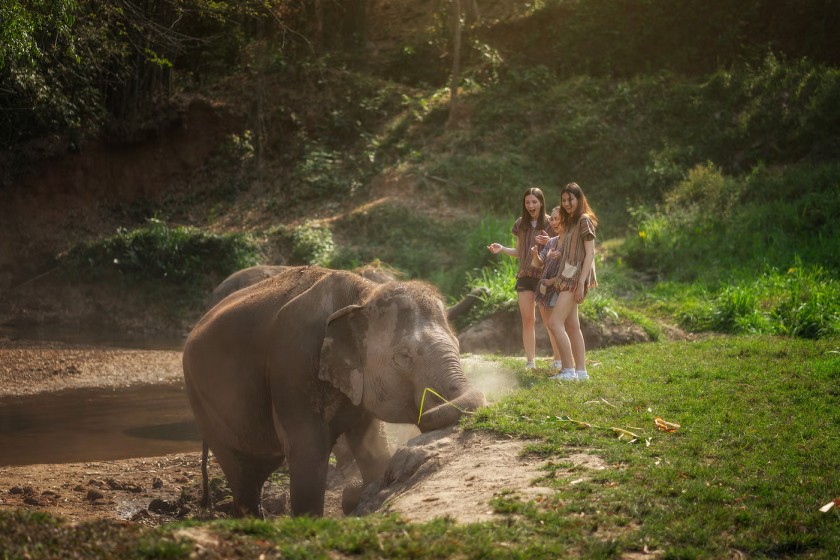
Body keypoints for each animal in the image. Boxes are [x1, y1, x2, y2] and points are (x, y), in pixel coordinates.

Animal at [184, 266, 486, 517]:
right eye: (403, 356)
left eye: (458, 343)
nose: (426, 413)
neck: (361, 295)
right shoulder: (292, 363)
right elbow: (308, 449)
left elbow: (371, 441)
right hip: (202, 402)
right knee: (241, 474)